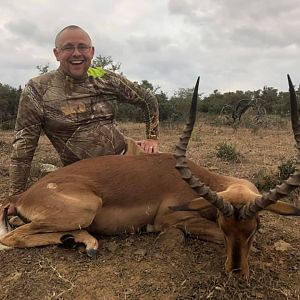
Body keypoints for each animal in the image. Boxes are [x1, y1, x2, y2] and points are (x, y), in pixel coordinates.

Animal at [0, 75, 300, 278]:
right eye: (224, 226)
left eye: (254, 227)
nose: (236, 271)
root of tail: (22, 197)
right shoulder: (173, 218)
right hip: (85, 208)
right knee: (11, 238)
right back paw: (87, 243)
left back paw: (79, 241)